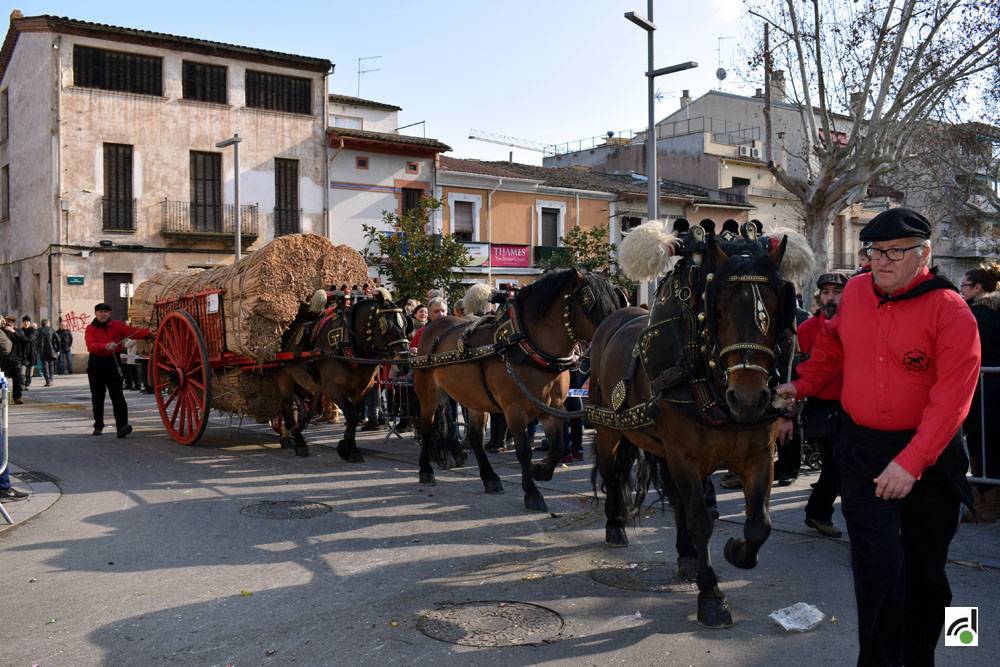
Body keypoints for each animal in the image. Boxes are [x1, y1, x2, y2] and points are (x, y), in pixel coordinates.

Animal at [276, 290, 408, 460]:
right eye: (384, 325)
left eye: (405, 324)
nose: (405, 362)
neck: (347, 344)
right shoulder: (333, 388)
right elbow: (351, 415)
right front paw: (347, 448)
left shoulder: (362, 389)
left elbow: (354, 416)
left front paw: (349, 447)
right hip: (285, 379)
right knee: (287, 407)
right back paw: (297, 441)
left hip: (304, 383)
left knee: (300, 405)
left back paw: (297, 431)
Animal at [410, 268, 620, 516]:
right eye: (588, 301)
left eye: (615, 298)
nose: (615, 332)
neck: (529, 347)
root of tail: (431, 327)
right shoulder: (514, 410)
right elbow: (523, 451)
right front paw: (532, 492)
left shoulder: (554, 408)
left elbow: (558, 446)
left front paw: (541, 471)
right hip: (429, 395)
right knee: (427, 428)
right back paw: (426, 470)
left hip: (473, 399)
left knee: (475, 436)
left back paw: (490, 478)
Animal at [588, 236, 792, 632]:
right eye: (719, 313)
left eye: (776, 312)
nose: (749, 398)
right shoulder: (685, 456)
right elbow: (700, 519)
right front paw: (711, 595)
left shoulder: (759, 456)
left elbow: (759, 524)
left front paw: (735, 551)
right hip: (609, 428)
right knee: (613, 472)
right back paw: (615, 525)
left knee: (674, 495)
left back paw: (685, 556)